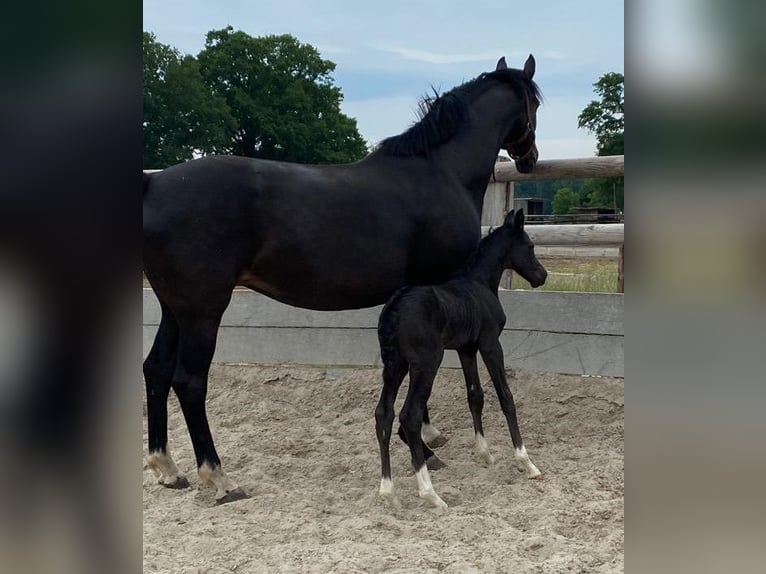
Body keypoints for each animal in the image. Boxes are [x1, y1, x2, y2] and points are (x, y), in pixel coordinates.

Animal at [376, 210, 544, 508]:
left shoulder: (466, 349)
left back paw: (388, 492)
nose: (542, 275)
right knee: (409, 416)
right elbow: (505, 396)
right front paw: (527, 463)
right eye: (530, 246)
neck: (479, 283)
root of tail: (394, 308)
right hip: (426, 363)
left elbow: (475, 396)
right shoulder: (490, 344)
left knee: (384, 414)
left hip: (395, 365)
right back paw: (431, 494)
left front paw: (486, 455)